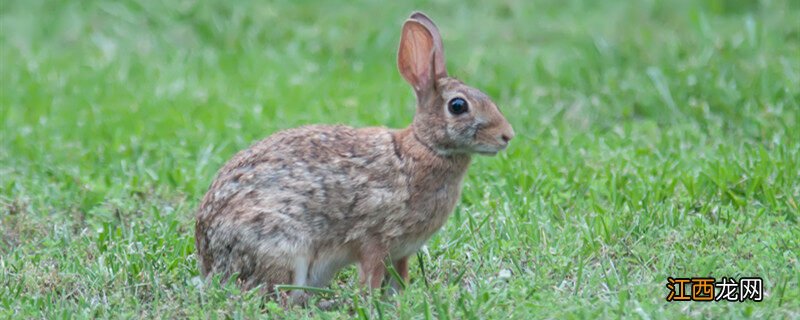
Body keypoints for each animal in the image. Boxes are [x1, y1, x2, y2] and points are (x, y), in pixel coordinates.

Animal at [197, 10, 516, 300]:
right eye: (458, 106)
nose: (507, 136)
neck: (424, 147)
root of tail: (209, 261)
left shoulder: (401, 252)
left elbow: (400, 277)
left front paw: (398, 300)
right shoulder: (375, 239)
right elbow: (371, 275)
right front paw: (372, 301)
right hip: (282, 248)